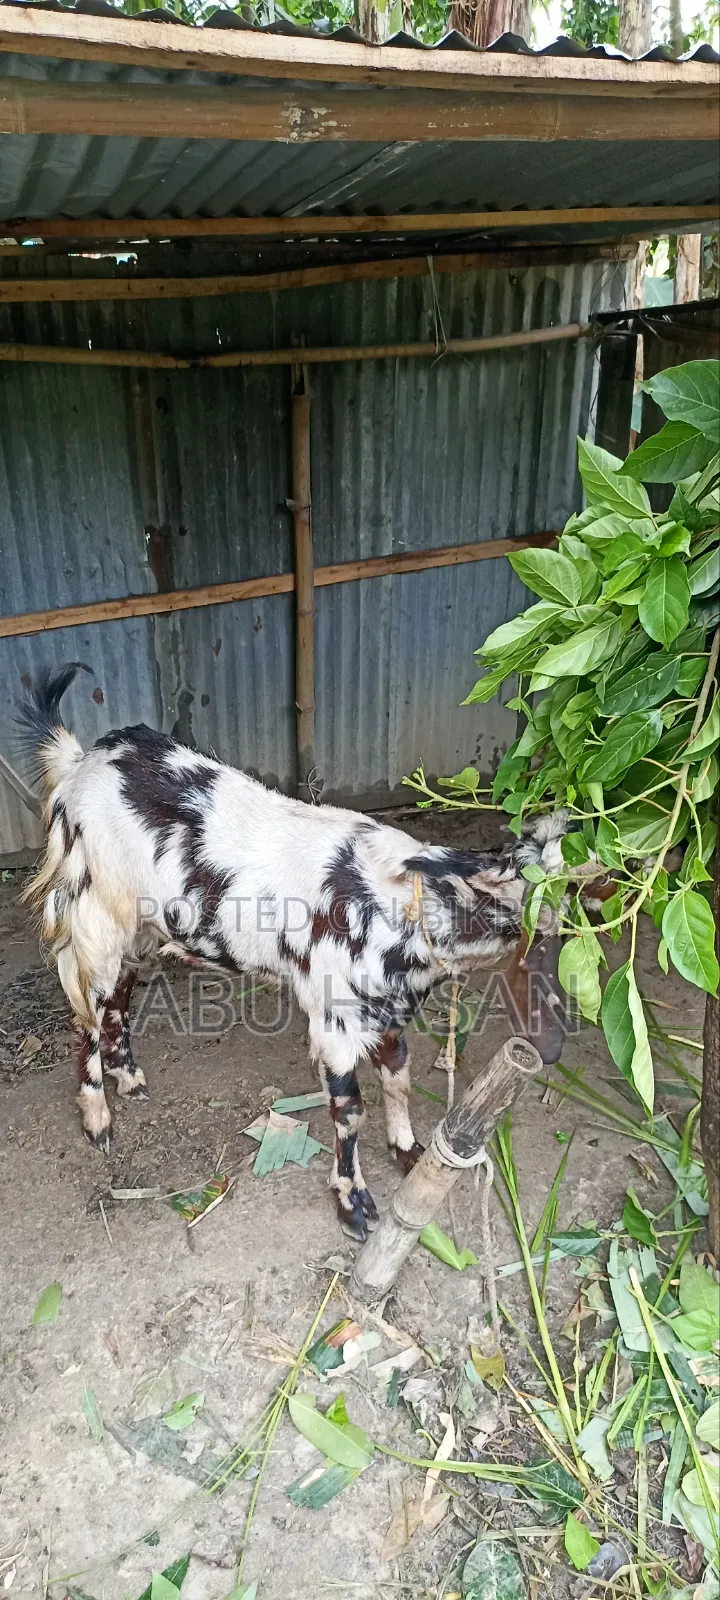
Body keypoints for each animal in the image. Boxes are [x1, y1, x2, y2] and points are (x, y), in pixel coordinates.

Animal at [18, 663, 573, 1241]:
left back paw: (128, 1078)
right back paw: (98, 1118)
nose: (554, 1042)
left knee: (118, 998)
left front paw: (407, 1152)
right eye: (527, 928)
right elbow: (350, 1112)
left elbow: (398, 1080)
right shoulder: (335, 1023)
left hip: (142, 931)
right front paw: (354, 1204)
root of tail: (80, 764)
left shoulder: (388, 1014)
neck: (393, 906)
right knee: (85, 1011)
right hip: (95, 923)